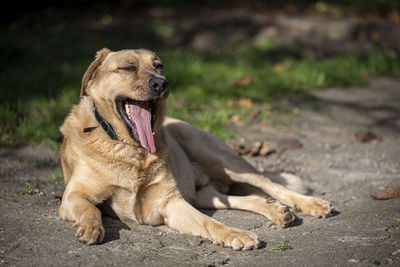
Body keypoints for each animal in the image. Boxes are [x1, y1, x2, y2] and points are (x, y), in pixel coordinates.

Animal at [59, 48, 332, 251]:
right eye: (127, 67)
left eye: (159, 66)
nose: (161, 83)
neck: (131, 149)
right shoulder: (73, 196)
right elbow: (91, 209)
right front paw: (92, 228)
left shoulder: (171, 202)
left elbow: (208, 222)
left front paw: (235, 234)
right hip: (204, 194)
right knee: (243, 198)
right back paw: (276, 211)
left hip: (222, 159)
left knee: (272, 185)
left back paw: (312, 204)